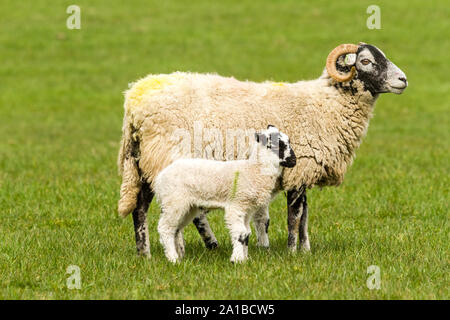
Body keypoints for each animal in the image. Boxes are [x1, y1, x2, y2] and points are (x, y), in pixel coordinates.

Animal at [153, 125, 298, 262]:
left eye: (289, 141)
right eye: (275, 145)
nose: (293, 161)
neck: (253, 170)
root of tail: (160, 178)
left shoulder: (247, 209)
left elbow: (247, 233)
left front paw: (245, 259)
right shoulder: (236, 205)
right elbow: (241, 233)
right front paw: (237, 260)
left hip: (188, 207)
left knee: (175, 229)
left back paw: (179, 255)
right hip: (174, 202)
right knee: (165, 228)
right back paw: (173, 259)